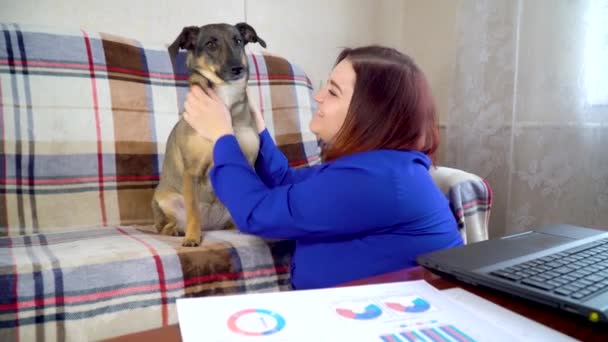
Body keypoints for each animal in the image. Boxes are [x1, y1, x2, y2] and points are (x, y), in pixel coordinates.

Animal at [151, 22, 266, 247]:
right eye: (211, 44)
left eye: (238, 41)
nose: (238, 68)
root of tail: (211, 226)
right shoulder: (192, 172)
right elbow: (193, 212)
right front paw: (192, 238)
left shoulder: (247, 163)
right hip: (165, 199)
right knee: (164, 225)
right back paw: (177, 230)